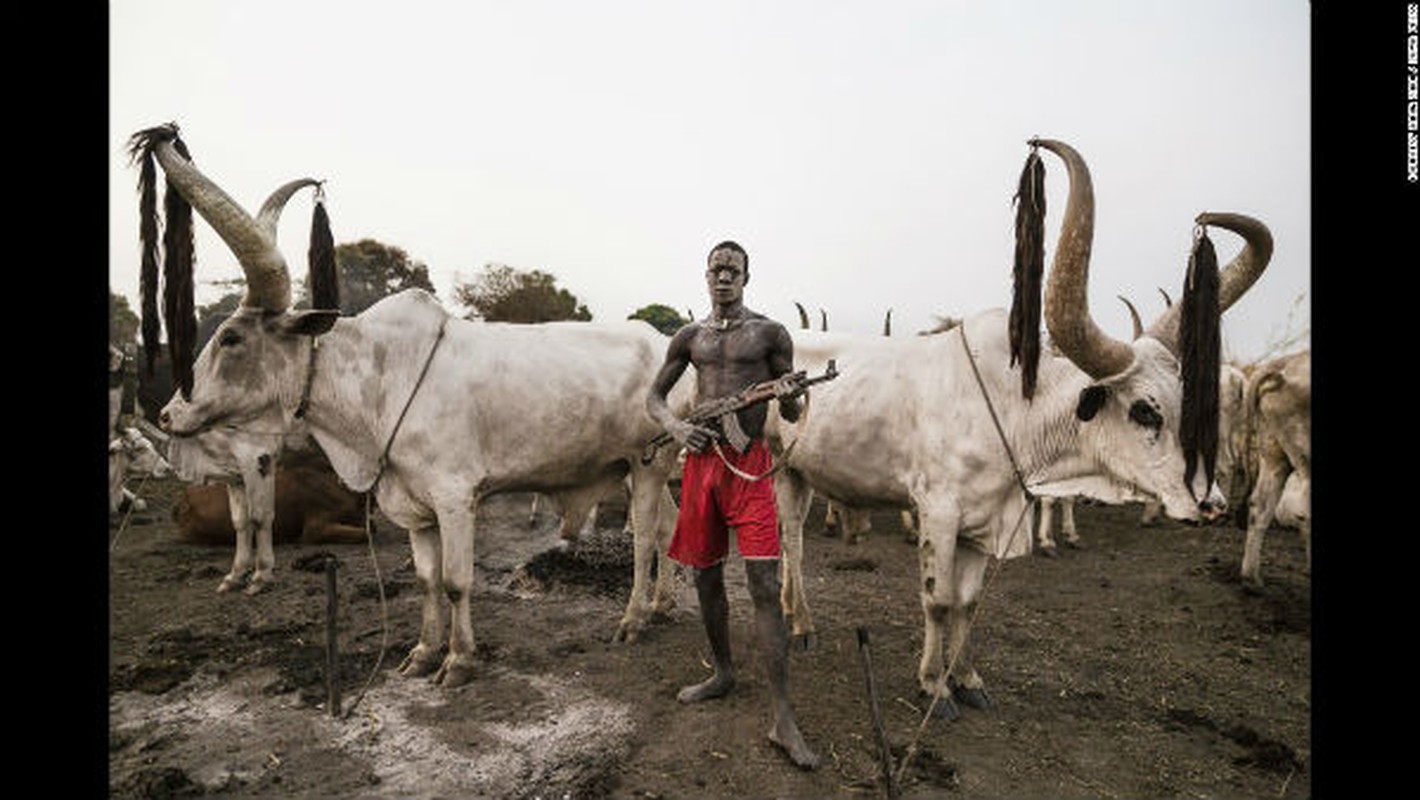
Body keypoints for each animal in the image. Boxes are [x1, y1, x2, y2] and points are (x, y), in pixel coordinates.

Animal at [772, 140, 1272, 721]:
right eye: (1145, 410)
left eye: (1187, 401)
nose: (1211, 503)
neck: (1014, 410)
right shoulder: (939, 512)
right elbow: (937, 600)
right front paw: (933, 686)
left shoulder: (985, 521)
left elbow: (967, 604)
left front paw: (966, 677)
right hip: (778, 473)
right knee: (792, 541)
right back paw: (802, 625)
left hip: (802, 473)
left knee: (792, 543)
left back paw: (794, 615)